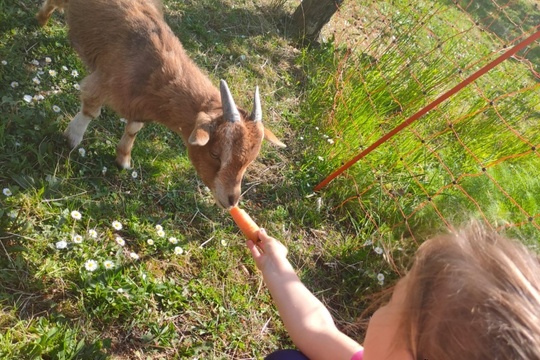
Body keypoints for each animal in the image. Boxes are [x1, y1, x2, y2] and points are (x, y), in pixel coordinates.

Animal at [35, 0, 284, 208]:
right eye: (215, 154)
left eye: (250, 161)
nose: (231, 200)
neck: (155, 70)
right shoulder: (102, 80)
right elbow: (90, 110)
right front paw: (71, 139)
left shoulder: (139, 107)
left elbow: (133, 129)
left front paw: (123, 160)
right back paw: (41, 21)